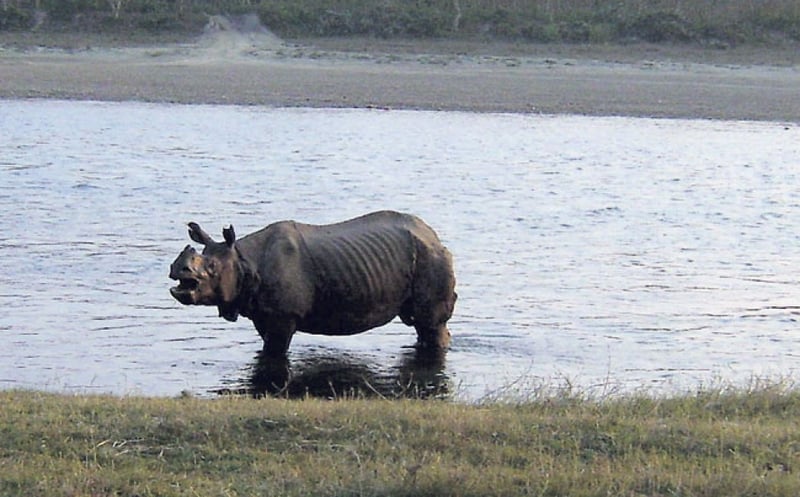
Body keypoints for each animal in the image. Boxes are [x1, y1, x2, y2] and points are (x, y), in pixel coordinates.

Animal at [169, 210, 456, 356]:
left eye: (211, 269)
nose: (176, 269)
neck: (243, 259)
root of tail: (434, 235)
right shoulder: (263, 312)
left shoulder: (283, 314)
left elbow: (275, 351)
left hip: (432, 257)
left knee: (430, 322)